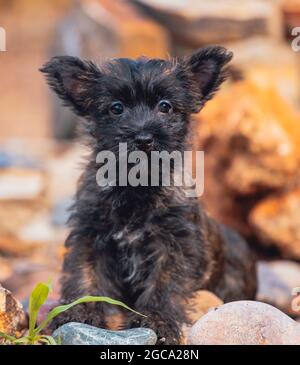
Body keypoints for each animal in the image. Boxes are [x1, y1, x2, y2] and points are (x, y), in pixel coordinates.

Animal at [41, 46, 256, 344]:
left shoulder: (173, 247)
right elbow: (84, 276)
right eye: (116, 107)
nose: (143, 138)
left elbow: (163, 286)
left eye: (165, 106)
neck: (136, 187)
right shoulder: (90, 238)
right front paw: (80, 311)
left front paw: (157, 321)